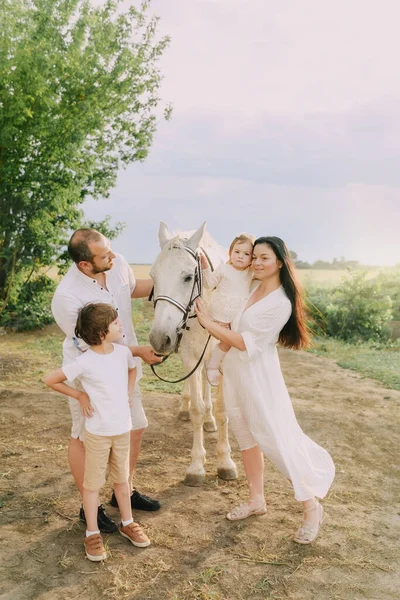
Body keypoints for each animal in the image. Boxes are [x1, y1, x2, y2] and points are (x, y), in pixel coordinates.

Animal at [149, 223, 238, 486]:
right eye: (153, 276)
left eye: (188, 277)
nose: (160, 338)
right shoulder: (189, 356)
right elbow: (197, 409)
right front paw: (197, 466)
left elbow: (222, 410)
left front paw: (225, 462)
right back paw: (185, 408)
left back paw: (210, 421)